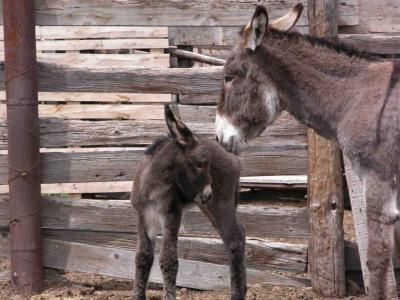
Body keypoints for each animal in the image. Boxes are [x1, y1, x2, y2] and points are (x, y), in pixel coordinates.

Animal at [131, 106, 245, 300]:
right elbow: (143, 257)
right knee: (241, 235)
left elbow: (168, 259)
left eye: (207, 165)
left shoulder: (171, 216)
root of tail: (231, 155)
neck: (153, 187)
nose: (208, 194)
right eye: (200, 165)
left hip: (219, 204)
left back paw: (237, 295)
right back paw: (243, 290)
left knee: (234, 240)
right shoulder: (143, 217)